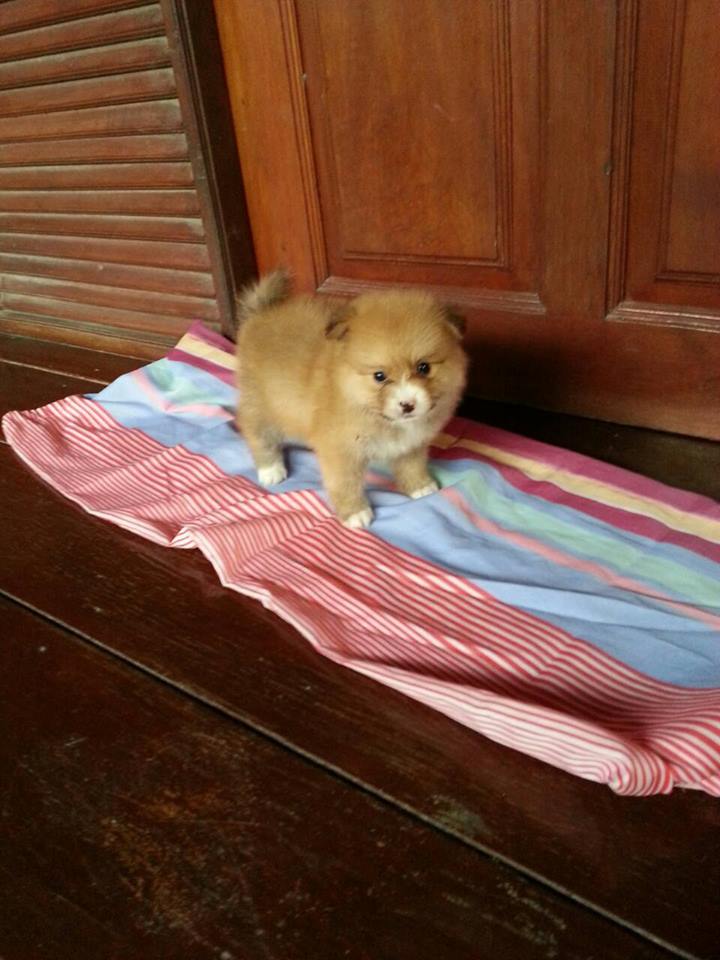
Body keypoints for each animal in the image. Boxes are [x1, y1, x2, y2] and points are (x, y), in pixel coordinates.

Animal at [235, 270, 467, 528]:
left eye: (424, 367)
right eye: (379, 376)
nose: (407, 404)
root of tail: (261, 311)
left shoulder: (411, 445)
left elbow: (411, 465)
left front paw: (420, 486)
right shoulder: (340, 451)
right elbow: (345, 484)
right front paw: (356, 513)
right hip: (261, 404)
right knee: (257, 433)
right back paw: (270, 469)